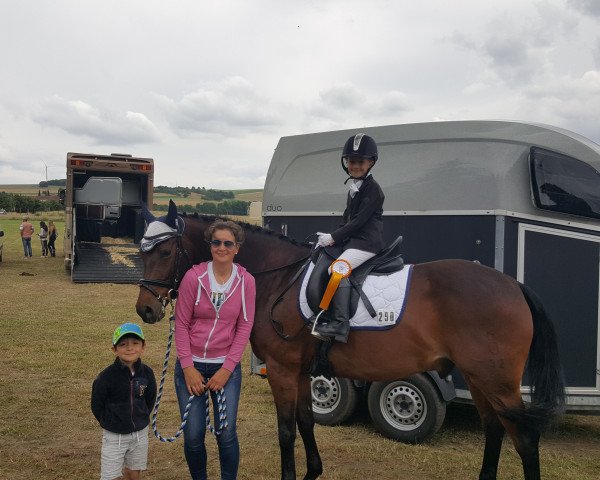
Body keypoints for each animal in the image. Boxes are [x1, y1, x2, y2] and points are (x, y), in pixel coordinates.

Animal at [135, 201, 564, 478]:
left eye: (167, 252)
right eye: (142, 253)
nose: (145, 310)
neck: (279, 277)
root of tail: (511, 284)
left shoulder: (282, 370)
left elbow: (286, 430)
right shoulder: (302, 372)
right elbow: (307, 422)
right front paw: (313, 473)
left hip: (496, 379)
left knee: (524, 437)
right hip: (478, 378)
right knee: (495, 429)